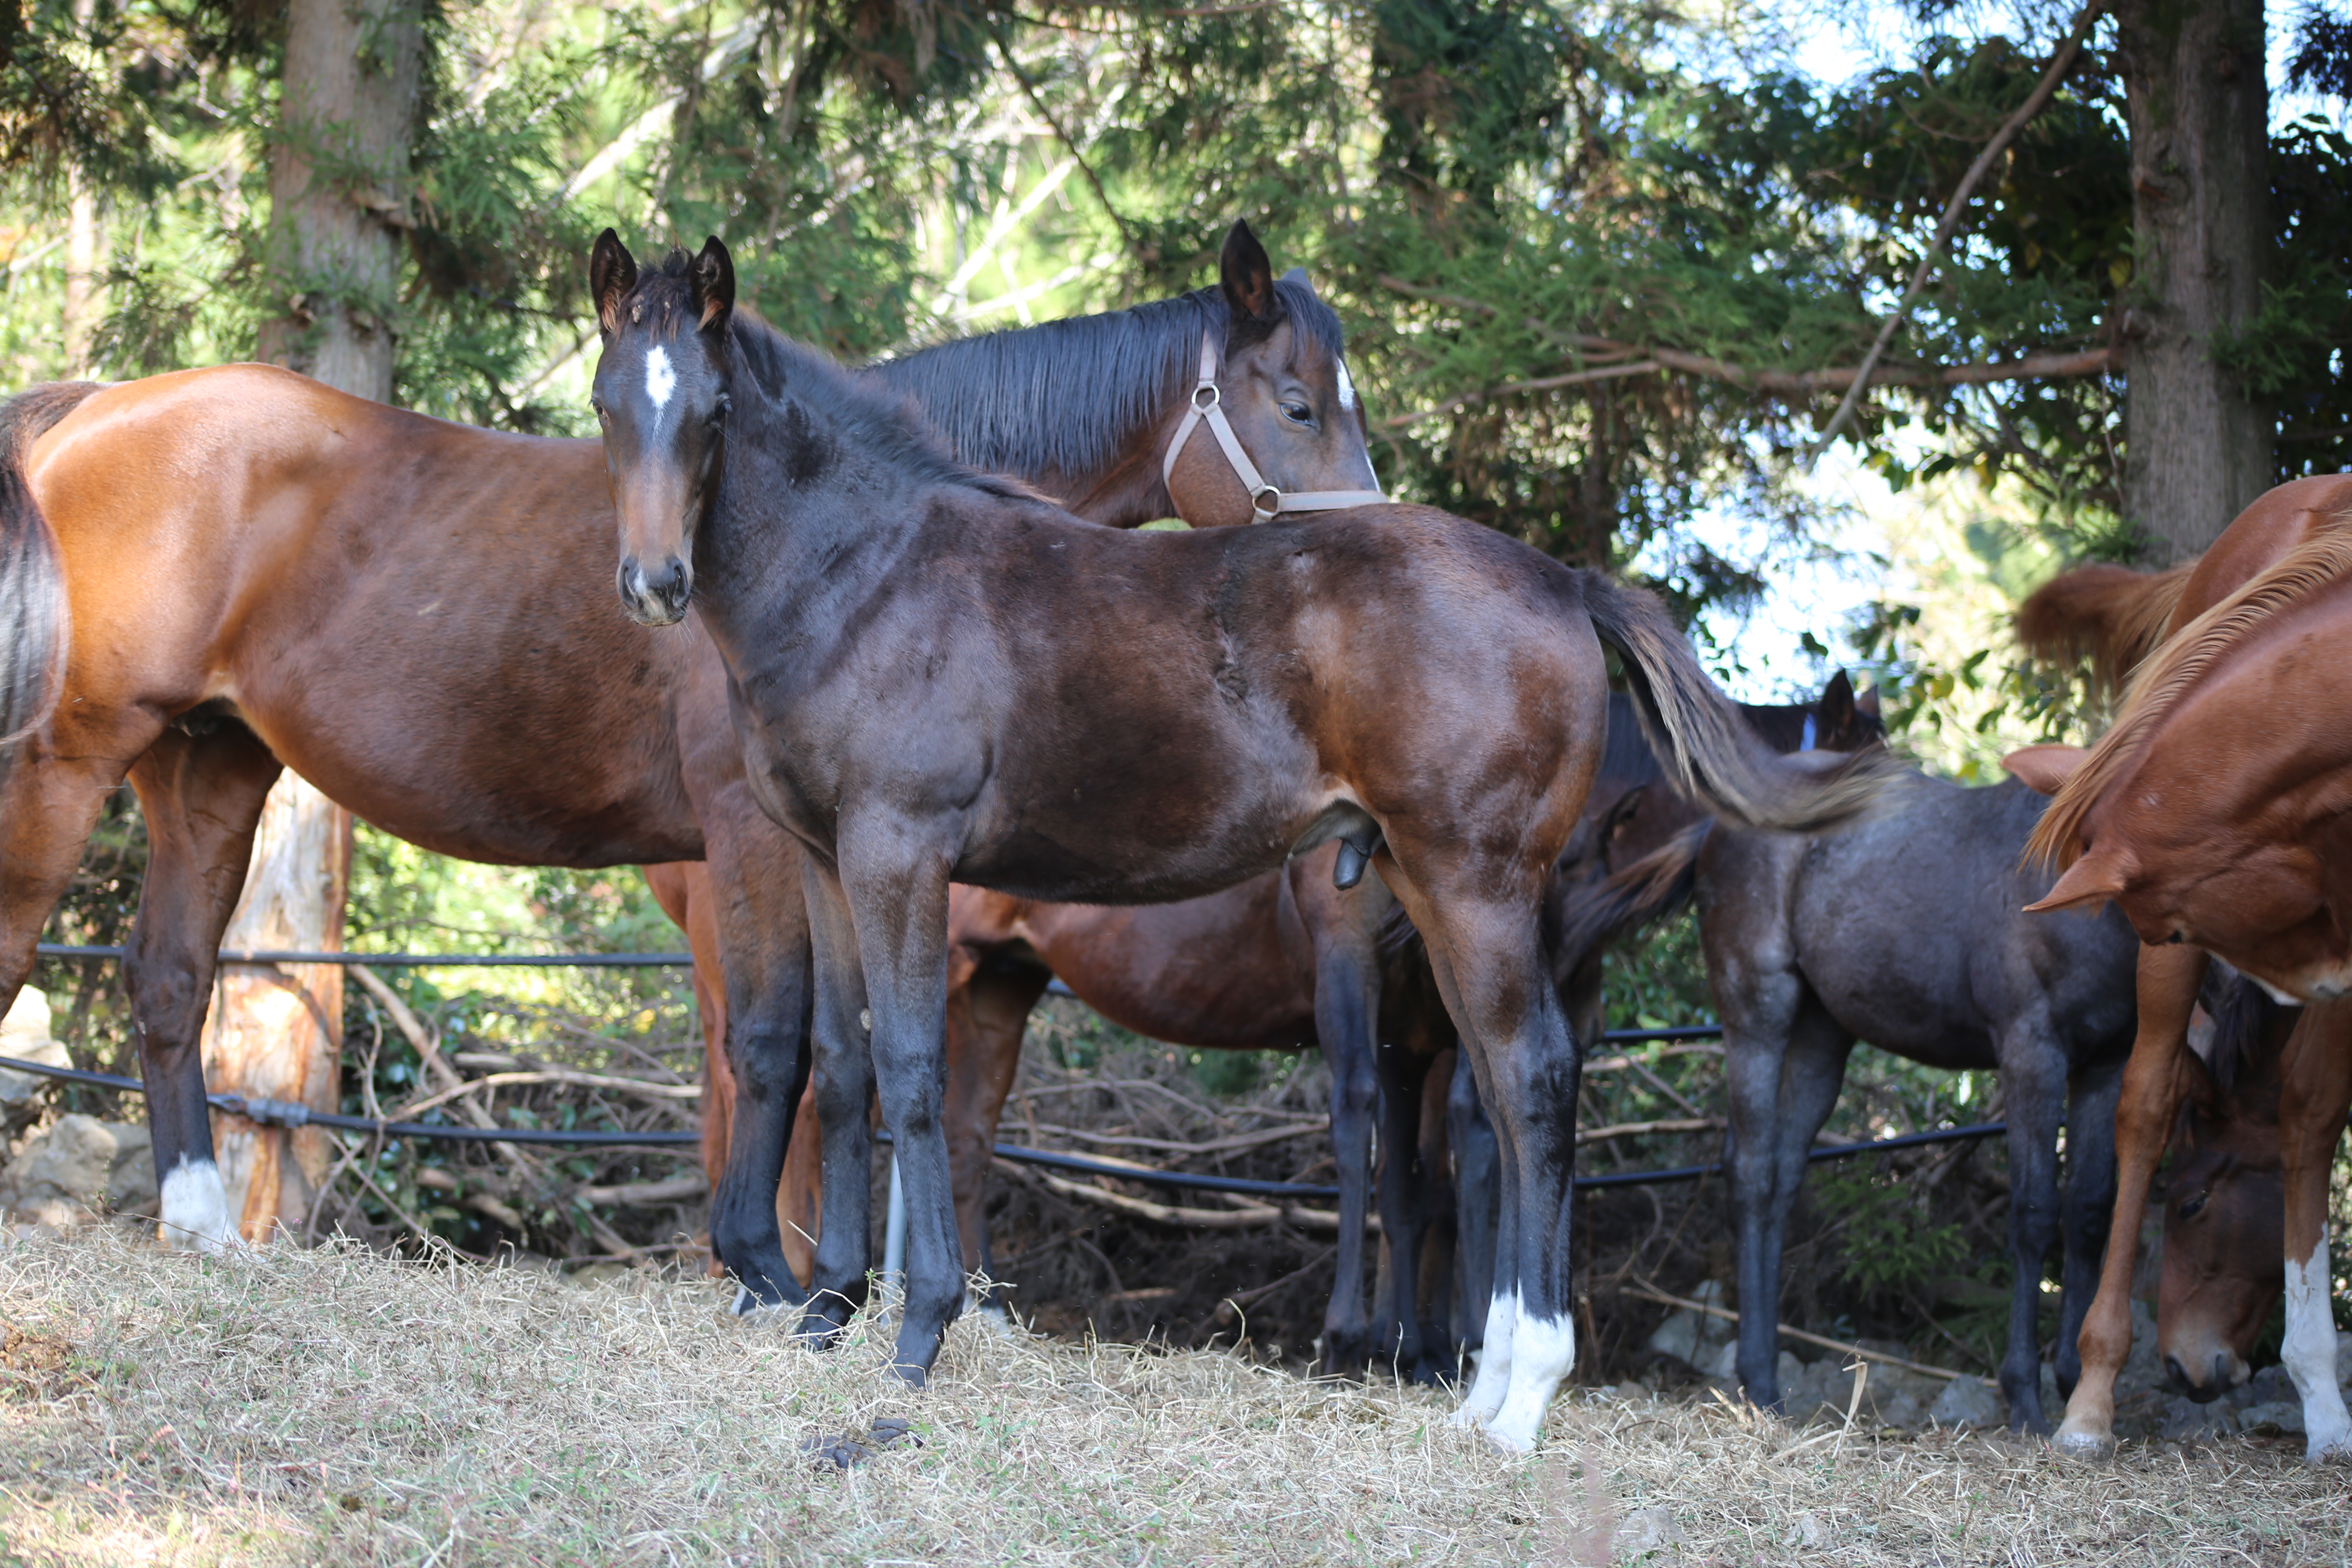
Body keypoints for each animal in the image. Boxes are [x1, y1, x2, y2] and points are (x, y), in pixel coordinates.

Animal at [0, 221, 1373, 1278]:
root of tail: (92, 412)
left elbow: (802, 1058)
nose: (1373, 547)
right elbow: (774, 1048)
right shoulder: (748, 842)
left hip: (207, 770)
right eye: (1300, 403)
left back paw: (198, 1225)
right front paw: (772, 1268)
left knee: (169, 978)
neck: (840, 537)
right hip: (70, 760)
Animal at [588, 240, 1891, 1457]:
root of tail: (1565, 583)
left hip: (1475, 885)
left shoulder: (898, 853)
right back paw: (1479, 1393)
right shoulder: (823, 857)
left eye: (710, 412)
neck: (869, 572)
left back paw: (1522, 1397)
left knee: (1530, 1083)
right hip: (1435, 891)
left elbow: (908, 1073)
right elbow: (844, 1065)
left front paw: (917, 1337)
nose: (651, 583)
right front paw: (826, 1316)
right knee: (1498, 1094)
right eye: (607, 404)